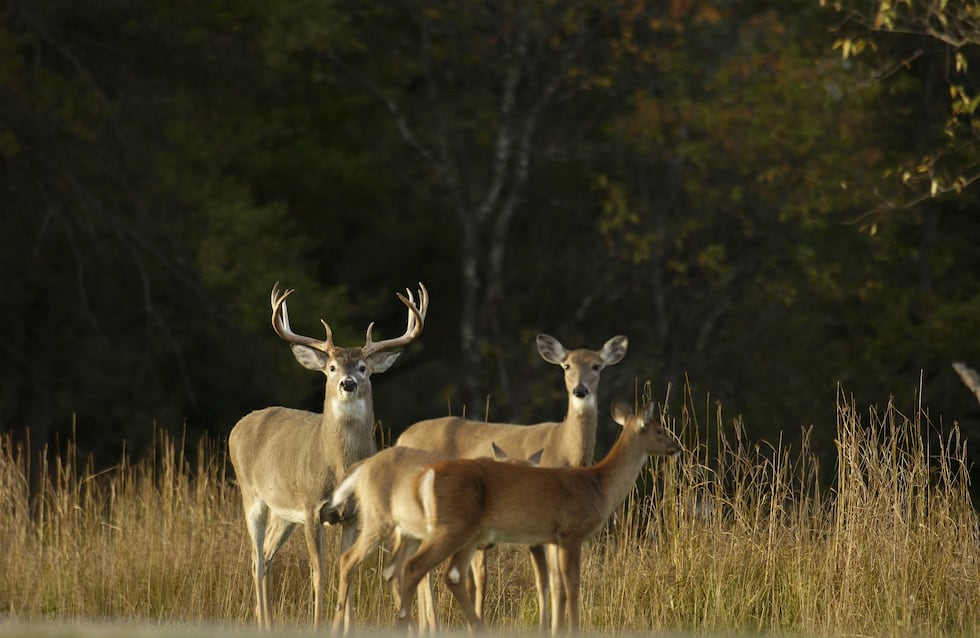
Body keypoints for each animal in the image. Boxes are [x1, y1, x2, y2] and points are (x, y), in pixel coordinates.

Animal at [228, 281, 428, 629]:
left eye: (363, 367)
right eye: (332, 367)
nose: (348, 383)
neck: (340, 467)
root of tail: (238, 426)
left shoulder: (353, 516)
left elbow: (348, 569)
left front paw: (344, 627)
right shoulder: (311, 507)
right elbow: (319, 572)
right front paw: (318, 622)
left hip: (283, 513)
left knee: (266, 555)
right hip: (251, 496)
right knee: (255, 560)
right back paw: (263, 622)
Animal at [327, 443, 543, 635]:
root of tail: (364, 466)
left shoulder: (476, 545)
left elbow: (478, 582)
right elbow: (463, 583)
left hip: (407, 532)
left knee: (391, 571)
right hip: (378, 519)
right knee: (348, 559)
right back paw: (337, 627)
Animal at [395, 333, 627, 629]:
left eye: (597, 366)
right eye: (566, 366)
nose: (580, 390)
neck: (564, 449)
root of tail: (401, 437)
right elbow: (551, 580)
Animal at [396, 399, 681, 634]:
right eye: (659, 429)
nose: (676, 446)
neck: (598, 484)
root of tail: (426, 475)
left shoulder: (553, 538)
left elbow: (556, 585)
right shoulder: (571, 532)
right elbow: (572, 585)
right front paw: (574, 630)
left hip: (462, 533)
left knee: (439, 573)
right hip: (453, 527)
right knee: (416, 567)